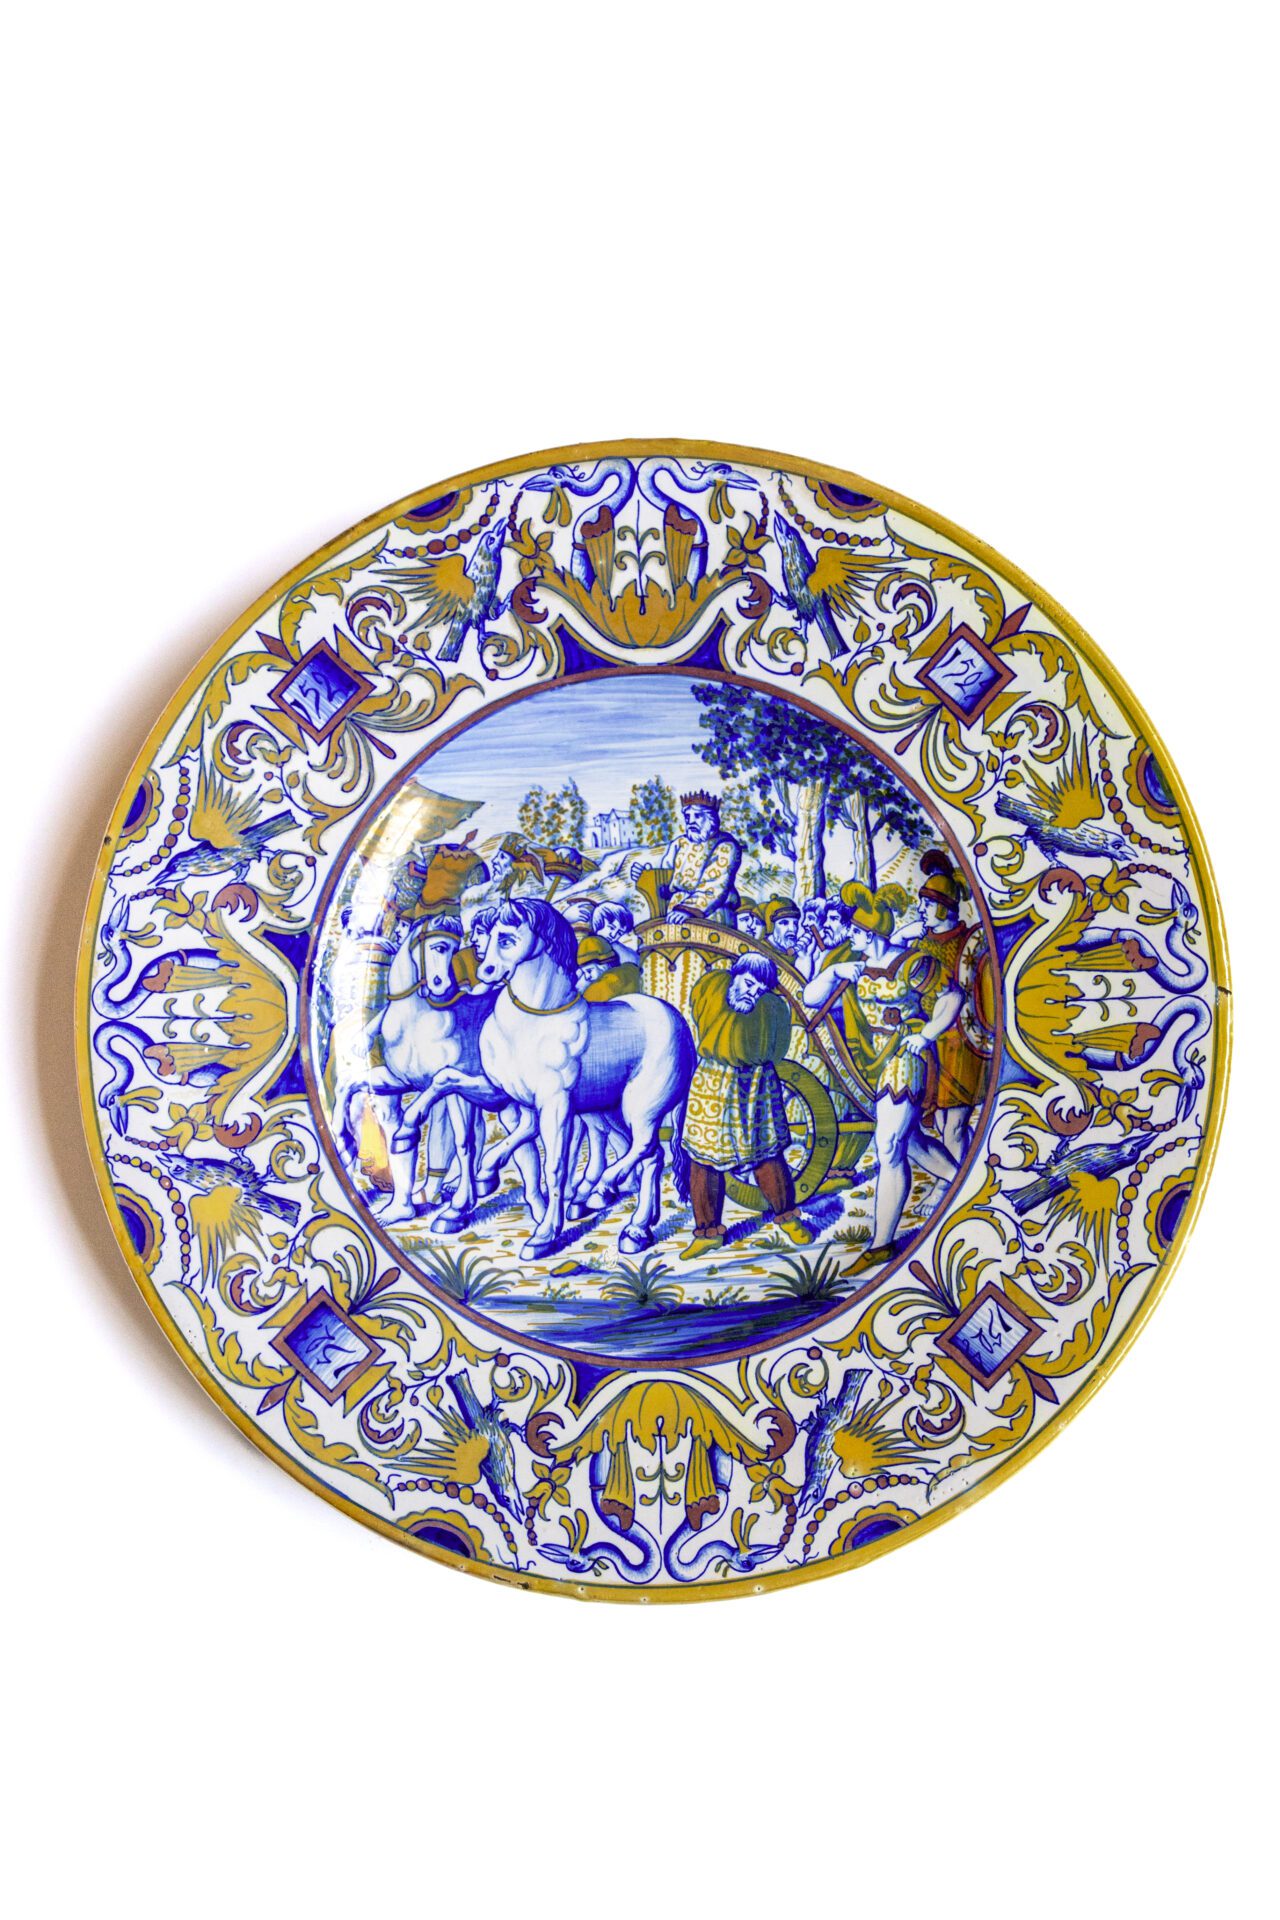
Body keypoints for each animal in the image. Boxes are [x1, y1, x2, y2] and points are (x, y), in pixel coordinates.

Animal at [409, 897, 695, 1260]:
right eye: (488, 936)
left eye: (506, 938)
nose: (487, 972)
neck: (533, 1023)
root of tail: (678, 1023)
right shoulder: (507, 1095)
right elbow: (447, 1080)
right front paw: (411, 1125)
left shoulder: (556, 1106)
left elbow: (554, 1167)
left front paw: (543, 1236)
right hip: (608, 1109)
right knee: (649, 1156)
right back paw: (635, 1229)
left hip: (641, 1107)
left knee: (645, 1148)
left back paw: (609, 1194)